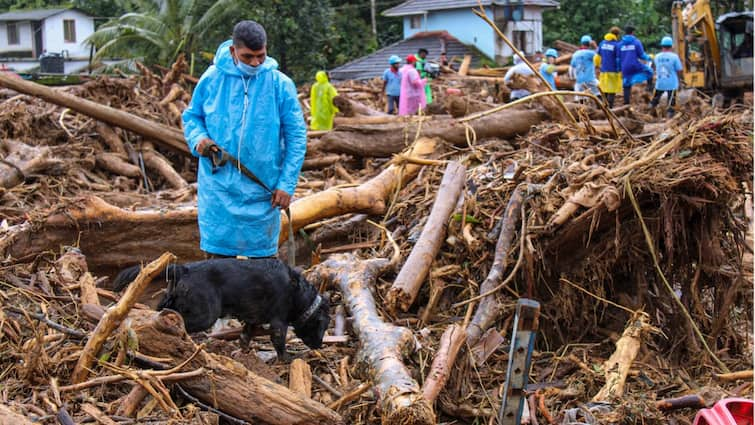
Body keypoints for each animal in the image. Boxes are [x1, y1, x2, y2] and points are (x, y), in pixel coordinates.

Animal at [110, 256, 330, 360]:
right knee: (179, 321)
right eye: (323, 326)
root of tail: (184, 269)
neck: (299, 293)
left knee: (162, 310)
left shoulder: (252, 319)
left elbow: (245, 335)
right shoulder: (279, 322)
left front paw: (243, 352)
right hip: (205, 314)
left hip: (172, 298)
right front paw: (287, 359)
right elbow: (279, 343)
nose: (319, 345)